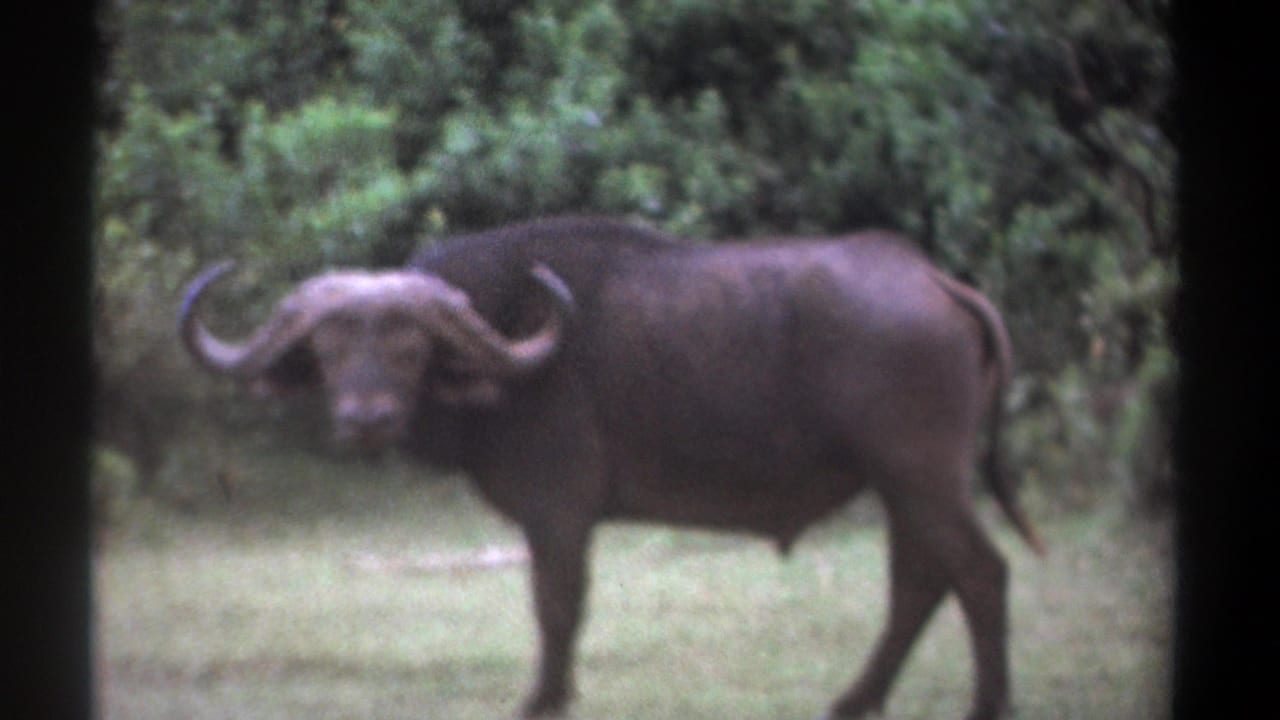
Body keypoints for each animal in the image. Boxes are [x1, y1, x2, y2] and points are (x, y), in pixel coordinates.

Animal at [179, 216, 1043, 720]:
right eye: (328, 348)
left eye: (409, 346)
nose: (366, 419)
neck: (514, 350)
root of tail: (934, 280)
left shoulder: (557, 510)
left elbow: (556, 604)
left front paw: (542, 699)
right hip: (903, 487)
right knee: (919, 582)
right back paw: (854, 700)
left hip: (921, 476)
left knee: (981, 572)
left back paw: (987, 704)